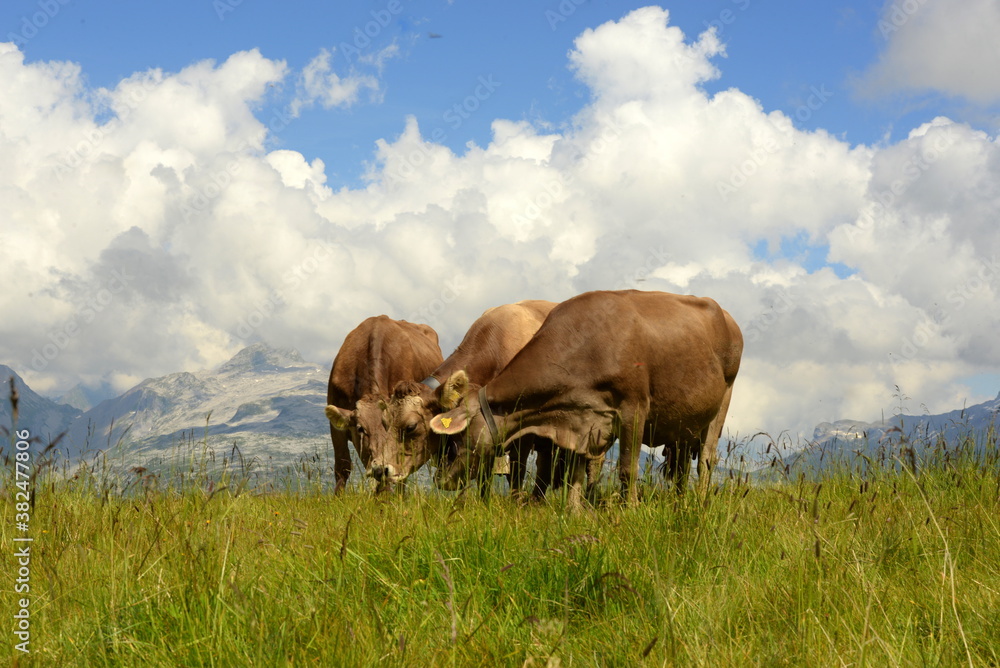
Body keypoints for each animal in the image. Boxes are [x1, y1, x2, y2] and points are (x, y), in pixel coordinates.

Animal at [378, 298, 564, 496]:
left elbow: (516, 475)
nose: (379, 469)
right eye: (384, 422)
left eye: (411, 427)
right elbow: (484, 480)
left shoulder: (523, 437)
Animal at [430, 288, 744, 512]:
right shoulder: (583, 416)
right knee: (681, 465)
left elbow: (627, 468)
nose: (440, 479)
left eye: (456, 437)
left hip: (723, 402)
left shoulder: (634, 407)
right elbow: (575, 468)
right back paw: (679, 500)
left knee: (706, 460)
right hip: (684, 422)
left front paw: (629, 509)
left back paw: (700, 500)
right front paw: (574, 509)